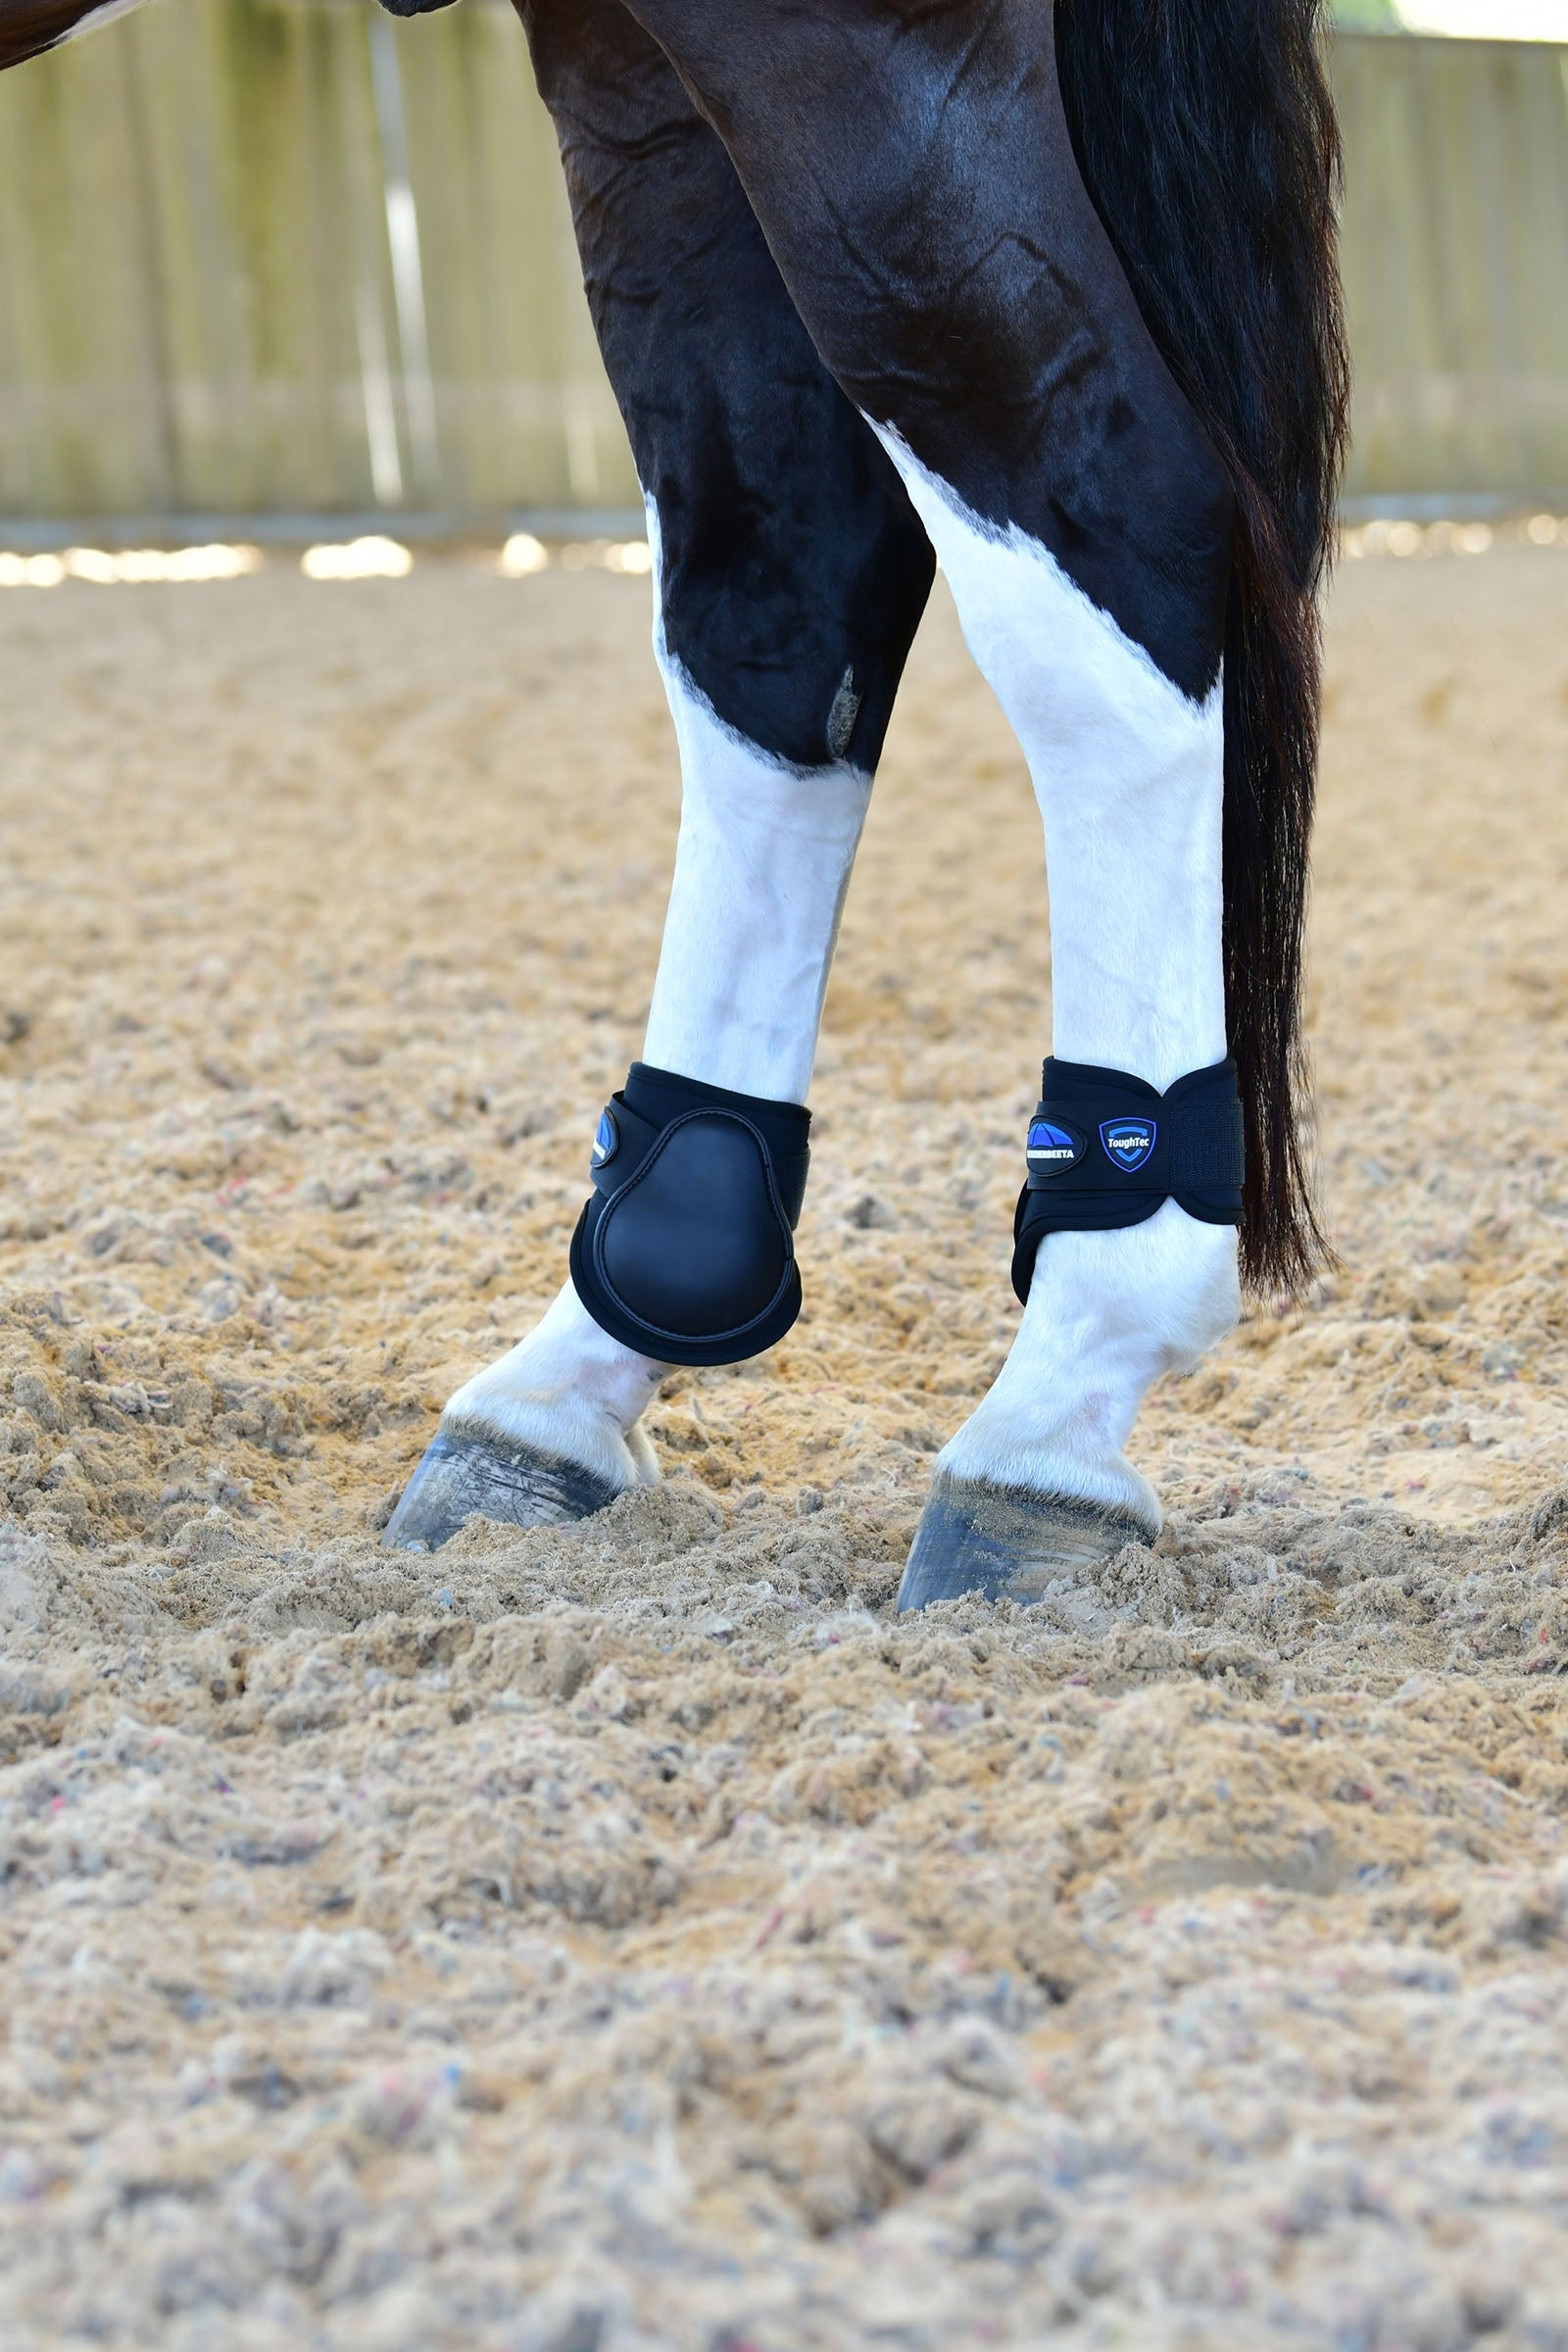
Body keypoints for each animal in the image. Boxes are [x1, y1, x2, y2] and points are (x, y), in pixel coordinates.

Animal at [2, 0, 1349, 1610]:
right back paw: (572, 1380)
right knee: (776, 594)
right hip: (633, 88)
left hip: (849, 56)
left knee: (1101, 524)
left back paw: (1059, 1404)